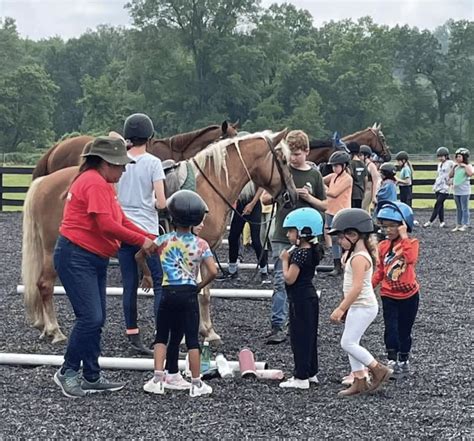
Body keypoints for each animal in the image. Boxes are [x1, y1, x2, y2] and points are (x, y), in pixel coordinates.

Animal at [22, 131, 298, 344]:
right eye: (283, 160)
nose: (292, 197)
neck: (208, 186)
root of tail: (44, 182)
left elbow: (205, 294)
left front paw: (208, 331)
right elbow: (198, 293)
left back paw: (45, 328)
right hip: (51, 250)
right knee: (45, 285)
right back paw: (55, 331)